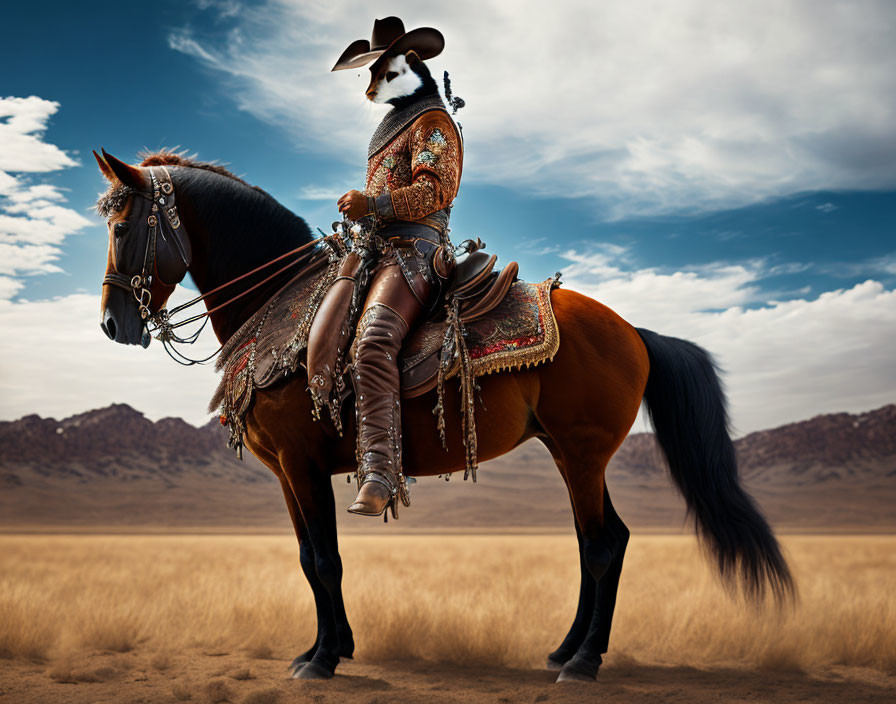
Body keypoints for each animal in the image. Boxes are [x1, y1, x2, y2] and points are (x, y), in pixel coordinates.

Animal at [94, 147, 796, 680]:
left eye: (122, 228)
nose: (112, 324)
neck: (282, 304)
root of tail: (637, 333)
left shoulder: (302, 463)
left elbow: (324, 560)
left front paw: (323, 661)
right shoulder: (289, 474)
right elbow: (307, 558)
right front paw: (323, 648)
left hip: (583, 453)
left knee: (599, 546)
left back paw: (583, 664)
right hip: (572, 455)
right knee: (604, 541)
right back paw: (565, 650)